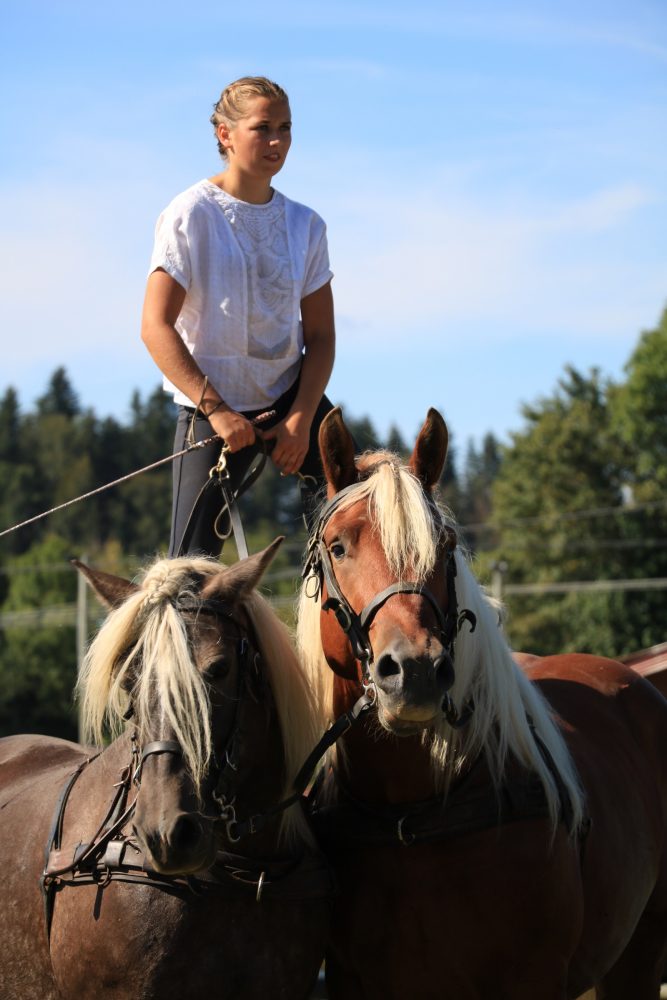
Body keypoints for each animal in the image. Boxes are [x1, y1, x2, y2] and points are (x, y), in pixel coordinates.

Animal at [298, 406, 667, 1000]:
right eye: (338, 546)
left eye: (445, 548)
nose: (416, 672)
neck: (413, 813)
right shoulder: (354, 980)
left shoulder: (534, 978)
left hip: (639, 955)